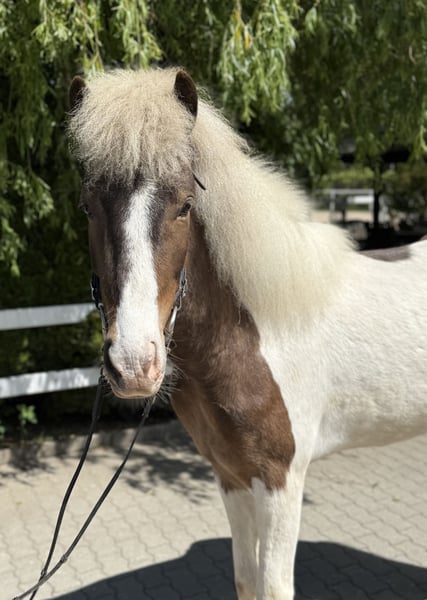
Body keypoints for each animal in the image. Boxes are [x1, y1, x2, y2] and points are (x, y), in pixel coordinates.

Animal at [68, 68, 427, 600]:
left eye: (184, 206)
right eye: (88, 207)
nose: (134, 365)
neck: (254, 332)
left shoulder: (281, 482)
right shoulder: (231, 476)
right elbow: (245, 580)